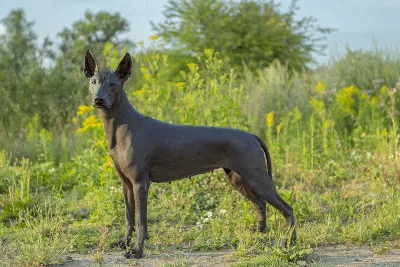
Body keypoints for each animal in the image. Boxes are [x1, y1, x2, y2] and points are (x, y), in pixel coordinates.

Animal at [83, 50, 296, 260]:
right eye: (93, 82)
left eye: (113, 84)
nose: (98, 100)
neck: (121, 126)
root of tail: (251, 135)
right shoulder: (126, 184)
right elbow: (129, 217)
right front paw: (124, 243)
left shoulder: (140, 183)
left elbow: (141, 220)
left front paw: (137, 250)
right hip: (239, 179)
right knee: (261, 204)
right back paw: (260, 231)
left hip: (257, 177)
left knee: (287, 209)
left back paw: (289, 244)